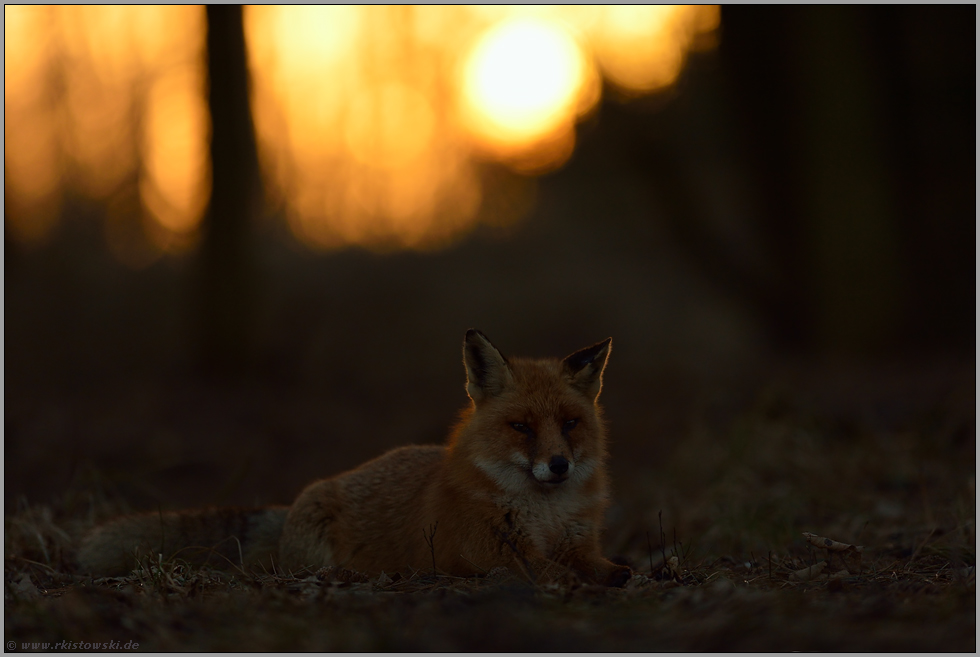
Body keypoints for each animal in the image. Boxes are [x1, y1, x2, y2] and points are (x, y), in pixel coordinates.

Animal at [76, 330, 632, 588]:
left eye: (569, 424)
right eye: (521, 427)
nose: (558, 466)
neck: (545, 514)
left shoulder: (578, 540)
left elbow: (605, 566)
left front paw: (613, 573)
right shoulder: (485, 552)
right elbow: (542, 566)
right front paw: (567, 580)